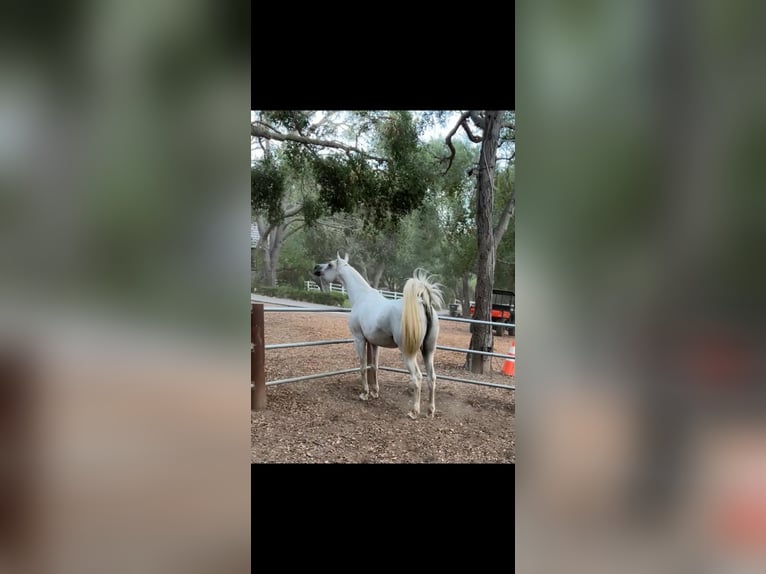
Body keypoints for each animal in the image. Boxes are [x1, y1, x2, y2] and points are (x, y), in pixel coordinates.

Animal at [313, 253, 444, 419]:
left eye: (330, 265)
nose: (316, 268)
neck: (362, 297)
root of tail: (423, 304)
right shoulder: (374, 343)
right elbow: (374, 366)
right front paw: (375, 392)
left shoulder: (359, 340)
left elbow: (363, 366)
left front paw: (364, 394)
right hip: (428, 351)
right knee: (432, 377)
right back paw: (430, 411)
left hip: (408, 354)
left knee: (417, 377)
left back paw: (414, 412)